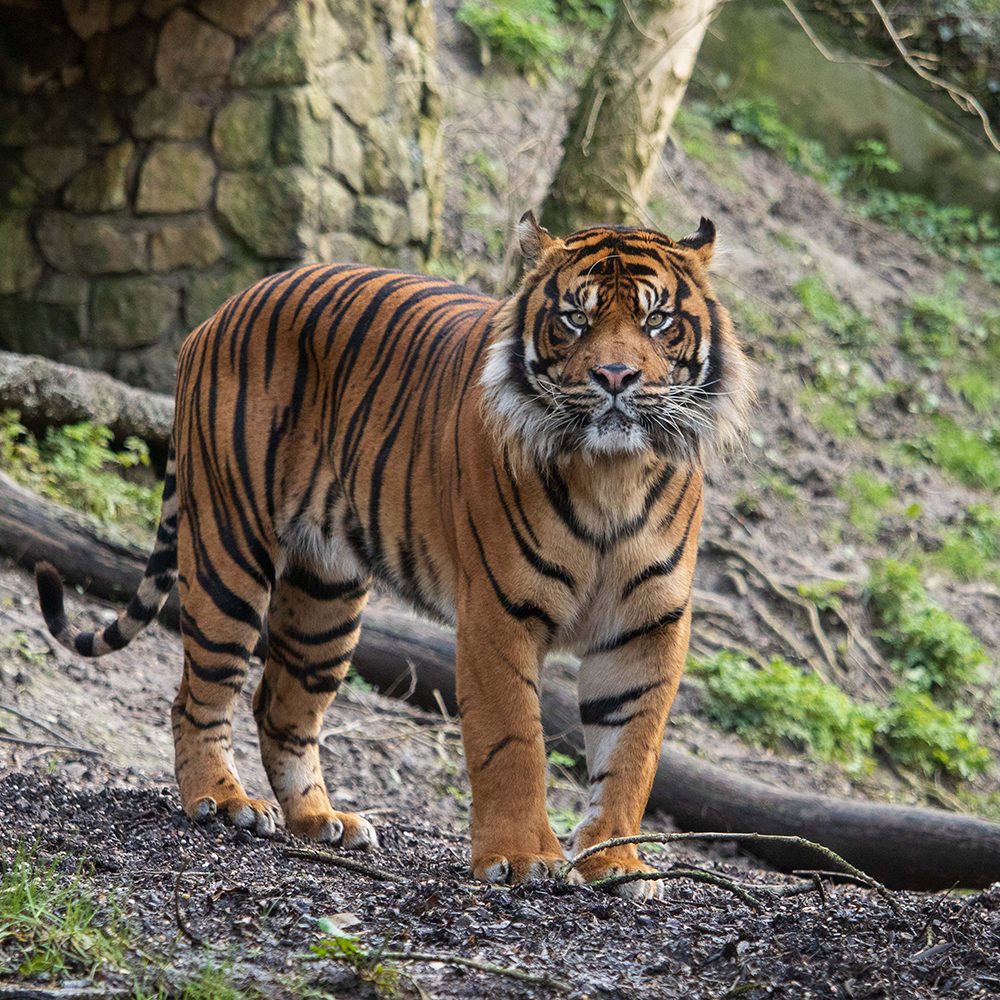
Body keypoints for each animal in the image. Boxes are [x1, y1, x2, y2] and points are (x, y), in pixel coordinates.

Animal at [35, 213, 752, 900]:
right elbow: (514, 740)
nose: (615, 377)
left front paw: (618, 863)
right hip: (227, 549)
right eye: (575, 317)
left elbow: (632, 752)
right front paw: (524, 860)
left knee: (280, 703)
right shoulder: (498, 613)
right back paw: (223, 800)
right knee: (197, 694)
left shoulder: (648, 628)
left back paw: (321, 820)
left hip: (326, 593)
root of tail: (223, 308)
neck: (613, 474)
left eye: (657, 320)